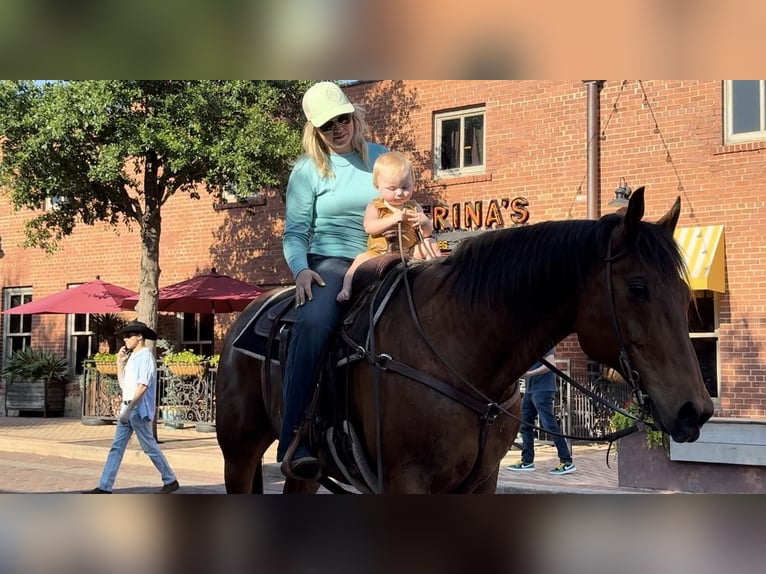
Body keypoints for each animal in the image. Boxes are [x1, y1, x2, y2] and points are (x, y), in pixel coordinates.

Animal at [214, 190, 712, 496]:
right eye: (638, 288)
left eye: (685, 294)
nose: (697, 410)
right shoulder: (405, 482)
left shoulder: (481, 481)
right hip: (239, 451)